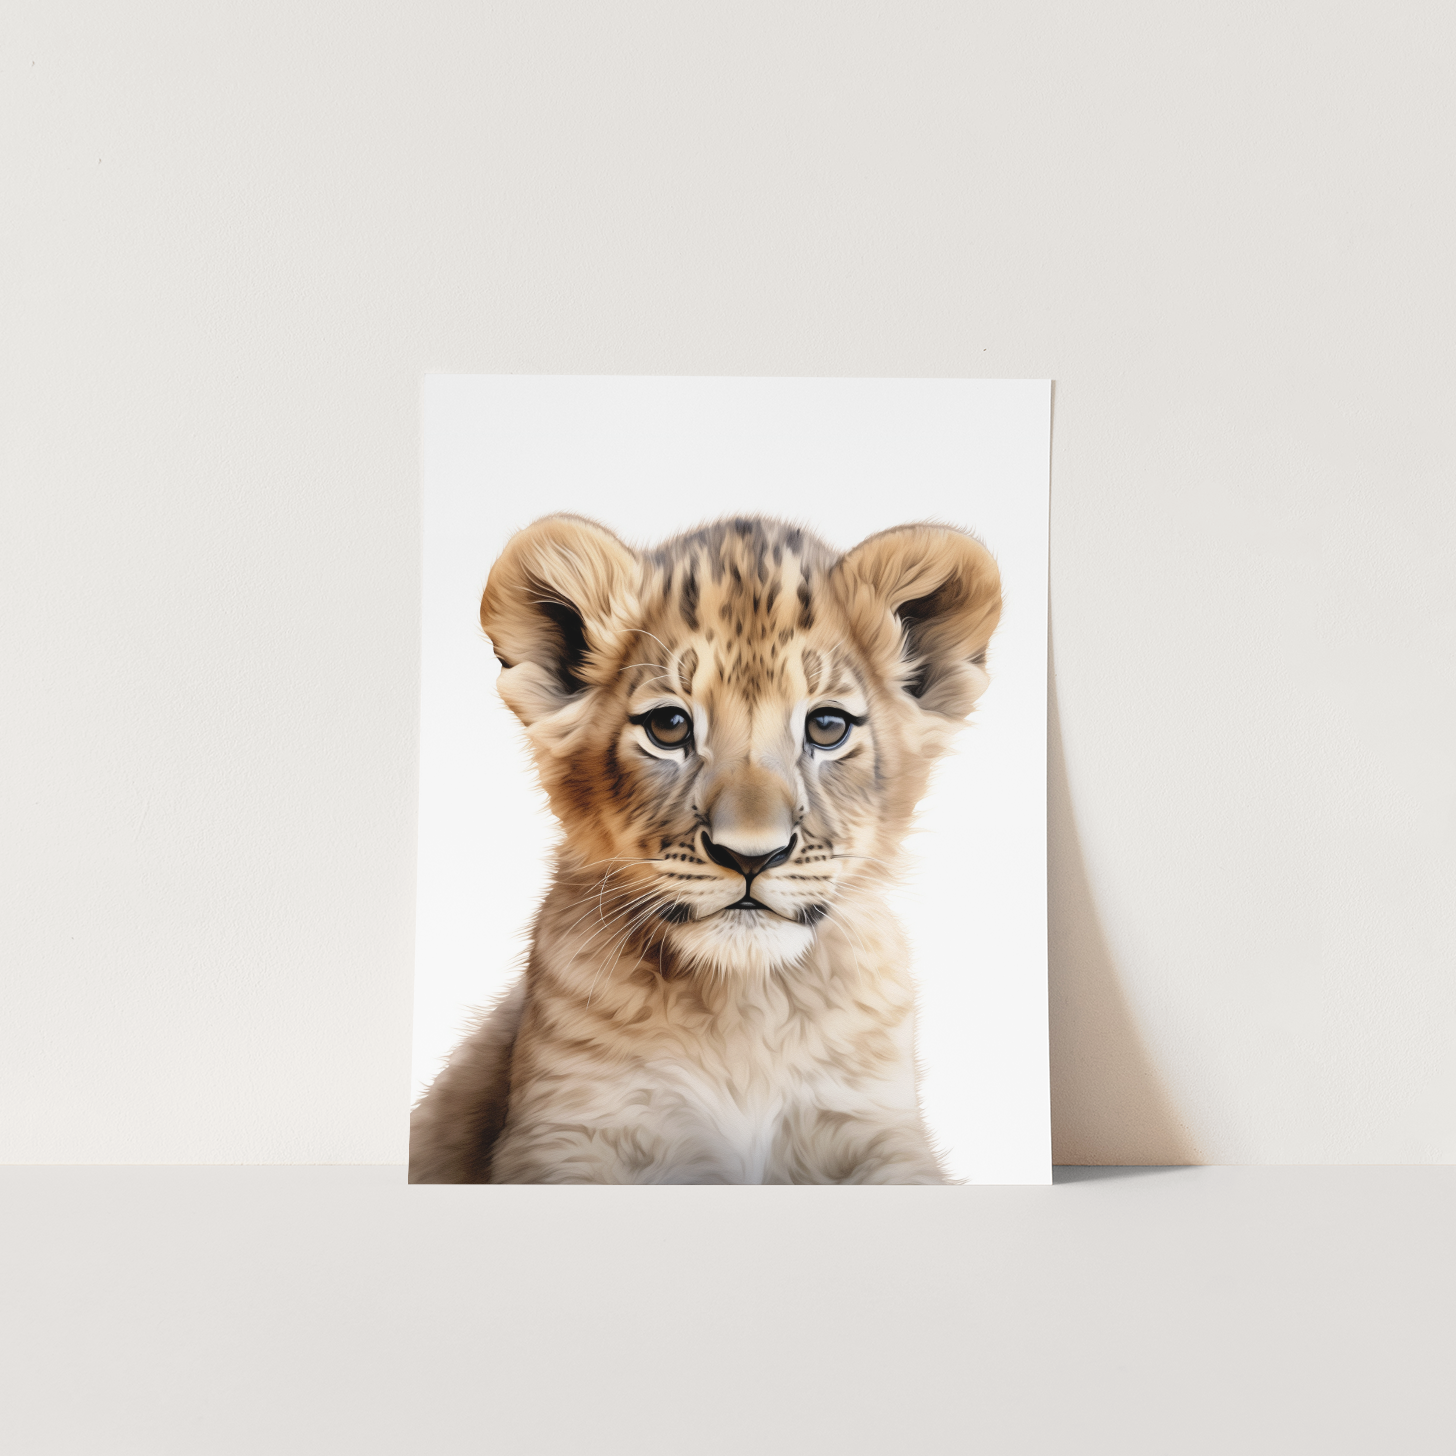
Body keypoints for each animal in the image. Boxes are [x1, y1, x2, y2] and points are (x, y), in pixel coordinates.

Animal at [409, 513, 1002, 1184]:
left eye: (827, 728)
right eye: (669, 727)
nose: (751, 856)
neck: (745, 1002)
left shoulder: (872, 1120)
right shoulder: (567, 1127)